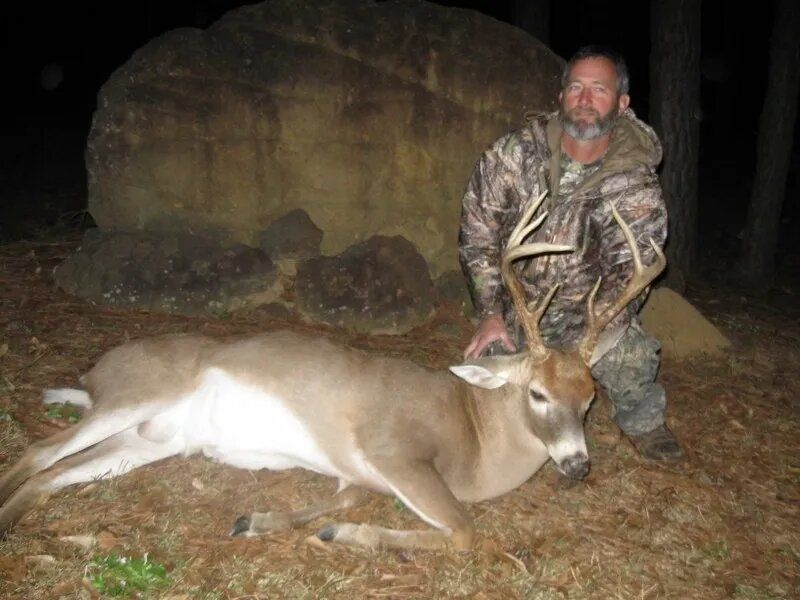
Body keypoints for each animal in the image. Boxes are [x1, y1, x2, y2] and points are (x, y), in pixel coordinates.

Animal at [0, 192, 665, 551]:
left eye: (590, 397)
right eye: (537, 393)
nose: (577, 465)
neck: (474, 441)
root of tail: (96, 372)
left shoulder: (358, 475)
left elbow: (331, 502)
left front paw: (260, 520)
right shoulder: (393, 449)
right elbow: (463, 529)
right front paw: (346, 538)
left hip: (152, 439)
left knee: (55, 474)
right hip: (138, 393)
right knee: (38, 450)